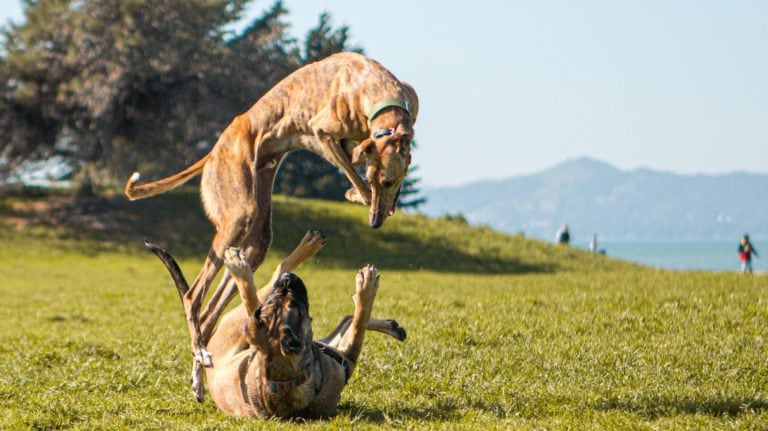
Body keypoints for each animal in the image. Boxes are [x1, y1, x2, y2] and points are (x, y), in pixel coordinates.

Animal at [146, 233, 408, 418]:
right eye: (291, 303)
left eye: (281, 302)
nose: (288, 281)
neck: (285, 378)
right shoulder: (349, 354)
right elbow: (359, 320)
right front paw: (366, 286)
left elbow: (353, 321)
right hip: (238, 318)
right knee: (260, 282)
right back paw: (248, 263)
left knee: (341, 318)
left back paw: (392, 327)